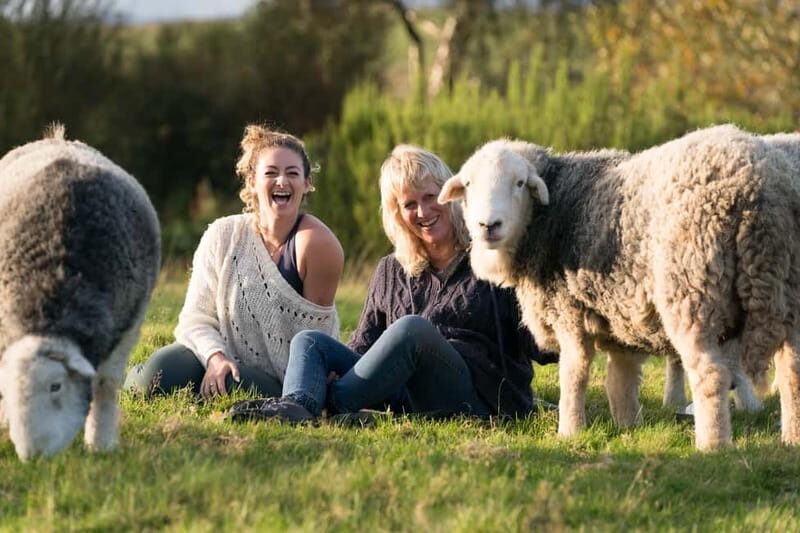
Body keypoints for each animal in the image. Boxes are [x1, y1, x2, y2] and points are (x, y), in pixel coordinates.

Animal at [0, 126, 160, 460]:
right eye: (7, 388)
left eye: (56, 386)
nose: (32, 457)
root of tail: (58, 138)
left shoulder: (128, 327)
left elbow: (106, 385)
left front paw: (100, 443)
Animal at [439, 124, 800, 450]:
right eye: (468, 184)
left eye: (519, 183)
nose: (488, 226)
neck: (549, 219)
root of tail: (762, 188)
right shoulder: (619, 308)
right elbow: (620, 378)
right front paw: (627, 426)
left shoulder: (569, 311)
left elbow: (574, 373)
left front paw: (569, 431)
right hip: (785, 293)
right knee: (791, 371)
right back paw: (790, 439)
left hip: (692, 289)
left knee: (710, 373)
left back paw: (713, 445)